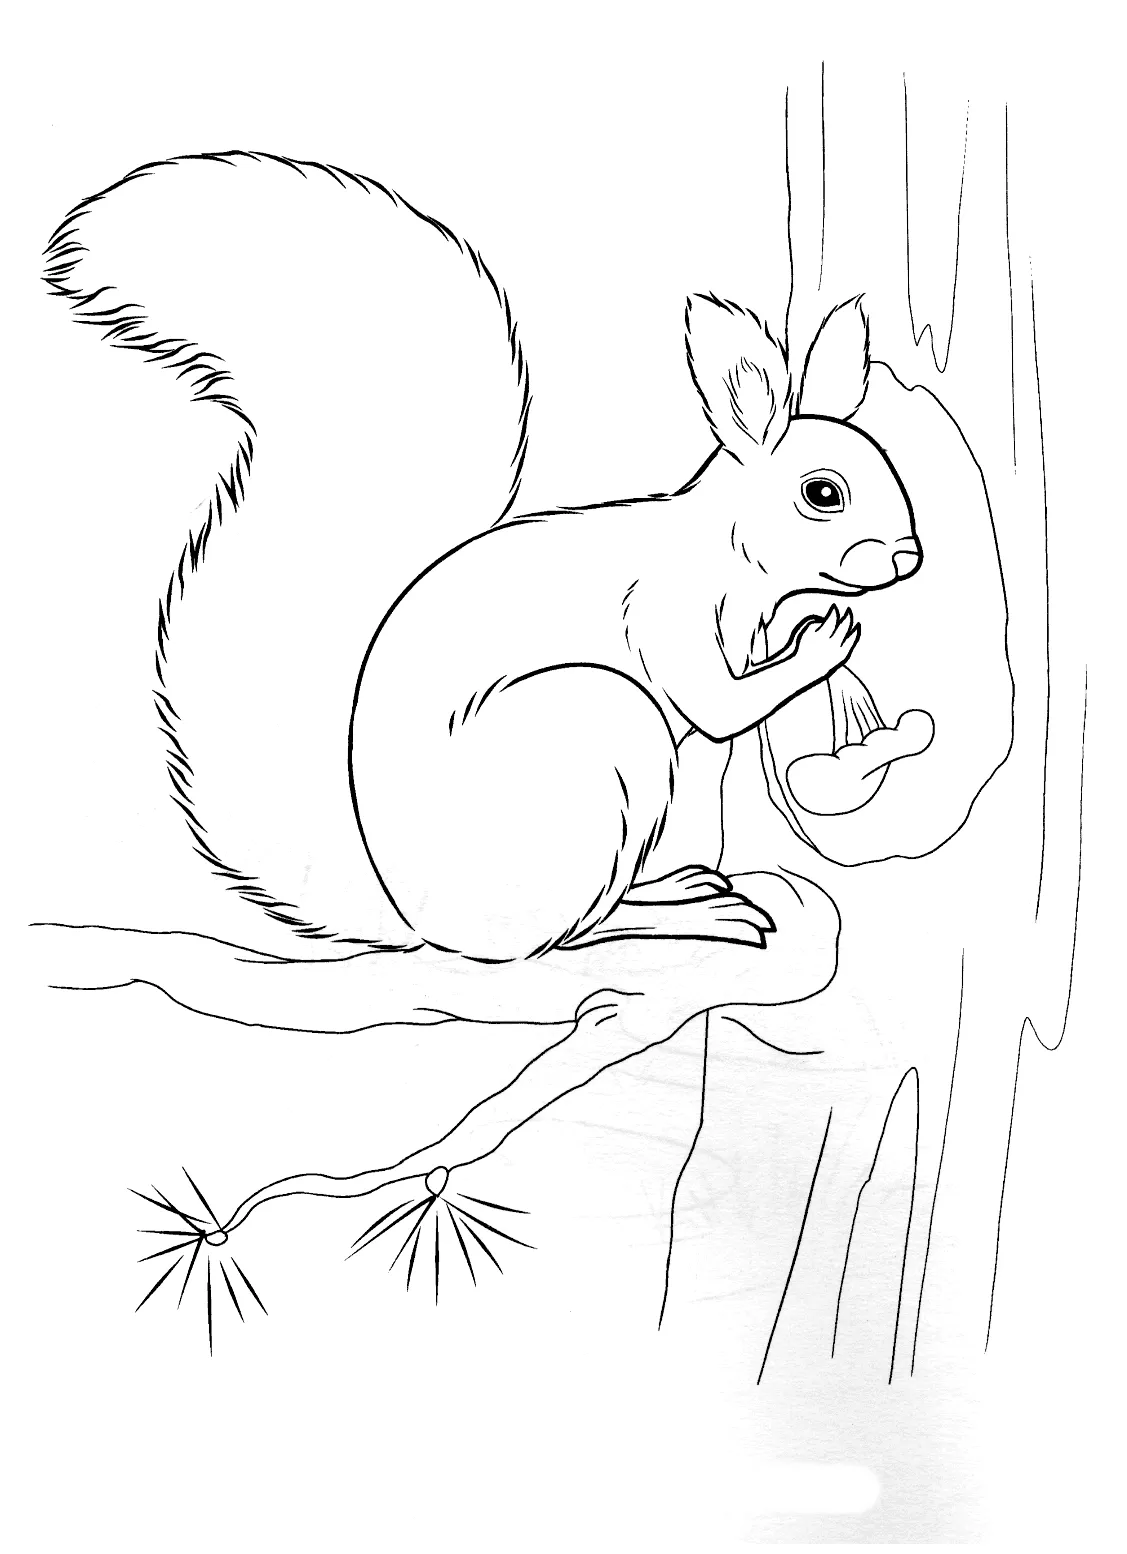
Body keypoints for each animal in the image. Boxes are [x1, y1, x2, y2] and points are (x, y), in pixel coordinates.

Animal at [44, 150, 922, 973]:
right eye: (822, 493)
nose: (908, 556)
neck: (733, 557)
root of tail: (418, 924)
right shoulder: (665, 608)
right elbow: (716, 703)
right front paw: (826, 640)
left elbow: (726, 723)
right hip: (600, 733)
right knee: (558, 936)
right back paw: (672, 915)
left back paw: (672, 887)